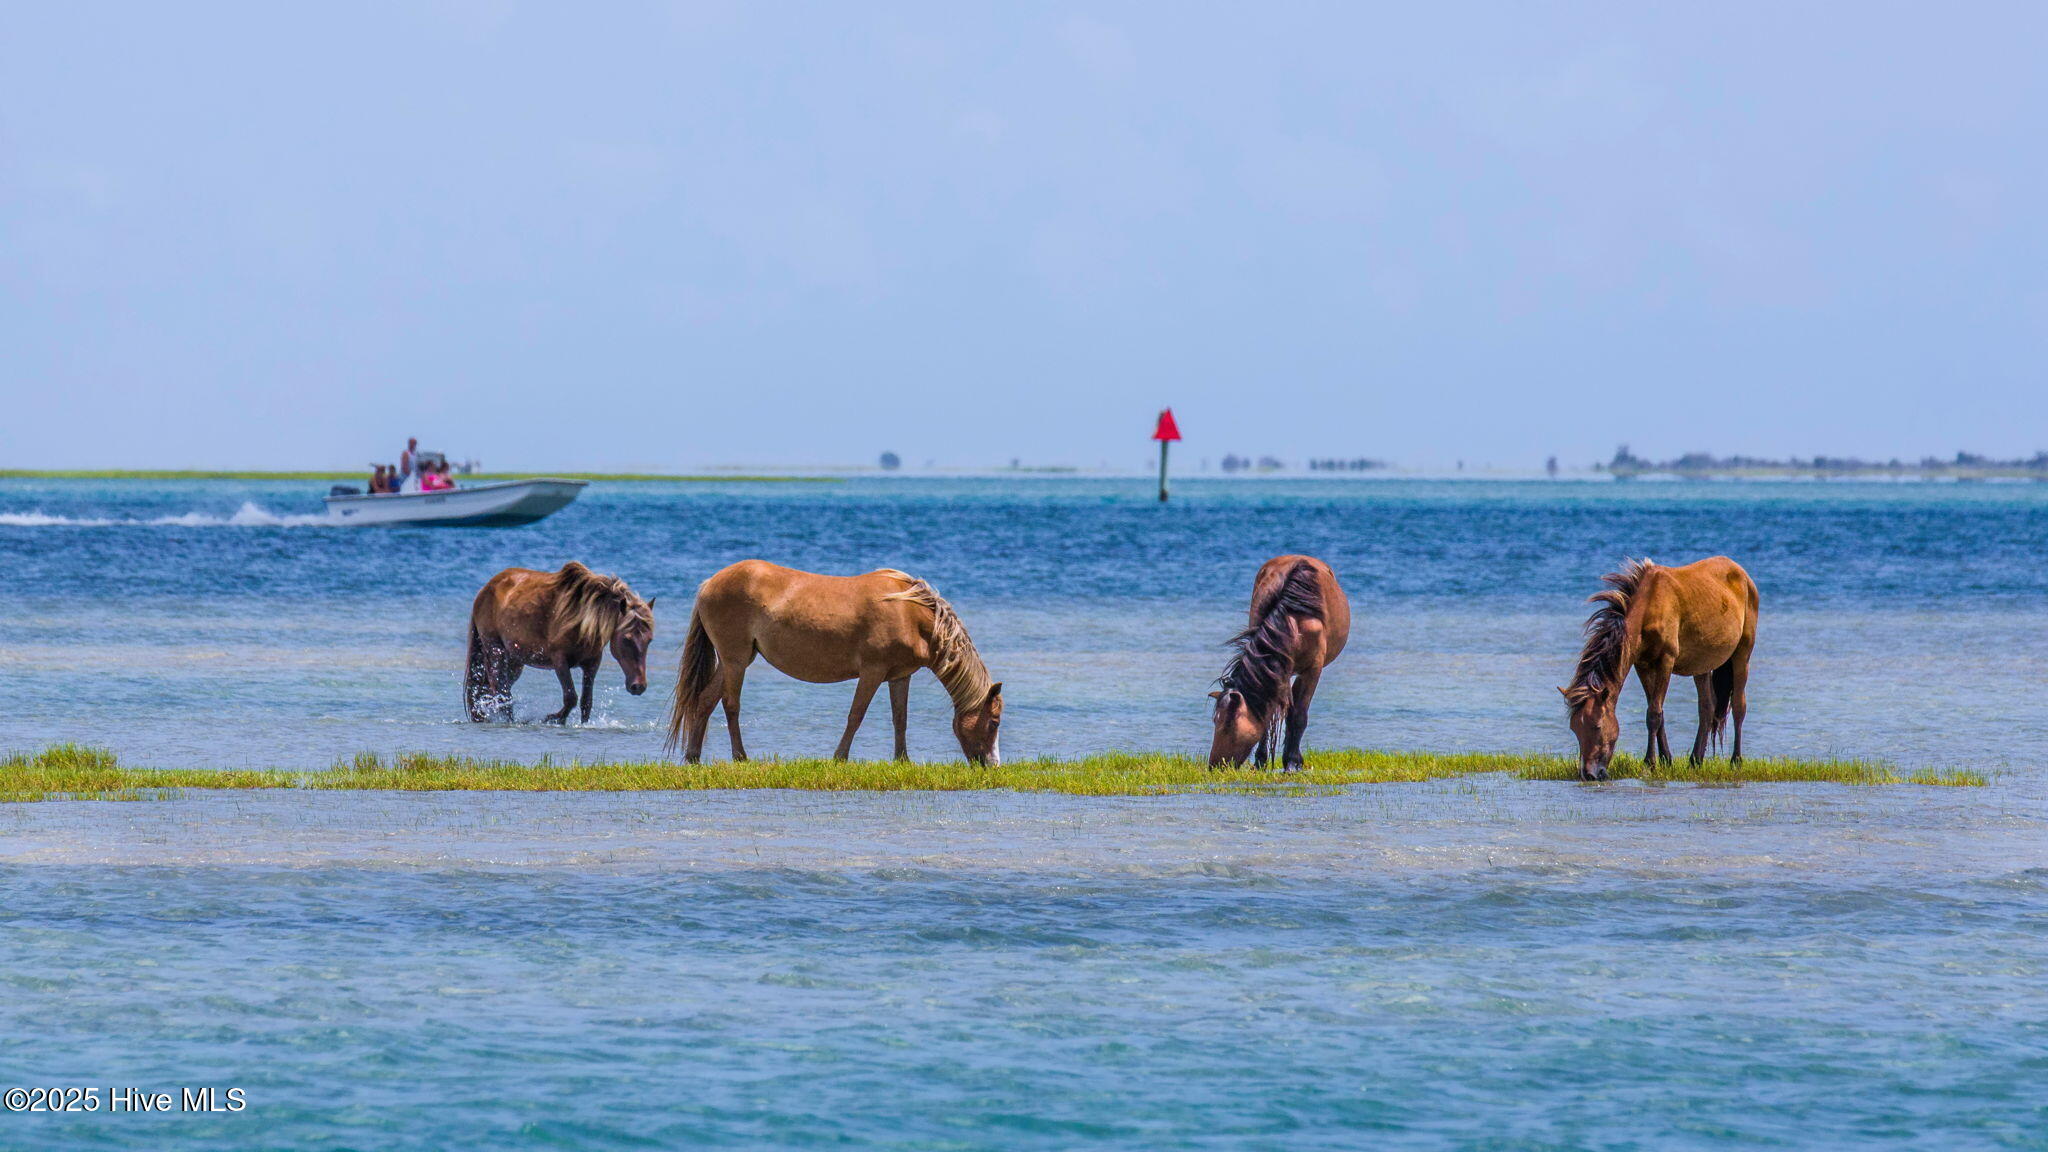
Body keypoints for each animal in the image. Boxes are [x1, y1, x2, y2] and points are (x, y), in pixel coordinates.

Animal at [466, 562, 655, 724]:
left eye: (649, 640)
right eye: (626, 638)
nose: (638, 686)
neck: (583, 621)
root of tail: (484, 590)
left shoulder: (592, 664)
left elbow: (586, 702)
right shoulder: (559, 661)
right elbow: (571, 697)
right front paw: (552, 718)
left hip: (514, 661)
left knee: (492, 690)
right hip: (495, 650)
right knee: (501, 691)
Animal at [663, 560, 1003, 765]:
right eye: (994, 722)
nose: (991, 765)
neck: (910, 613)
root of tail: (710, 583)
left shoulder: (899, 676)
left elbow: (900, 719)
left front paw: (902, 761)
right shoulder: (872, 671)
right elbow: (856, 715)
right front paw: (840, 757)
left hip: (736, 660)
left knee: (705, 700)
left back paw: (693, 757)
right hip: (735, 660)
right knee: (731, 705)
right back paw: (740, 756)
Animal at [1208, 555, 1351, 769]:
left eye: (1228, 725)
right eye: (1215, 721)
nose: (1214, 765)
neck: (1294, 621)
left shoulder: (1311, 670)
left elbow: (1298, 715)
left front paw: (1292, 763)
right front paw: (1261, 761)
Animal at [1560, 556, 1758, 780]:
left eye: (1597, 726)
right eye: (1574, 728)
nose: (1589, 774)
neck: (1650, 606)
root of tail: (1743, 574)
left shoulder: (1665, 661)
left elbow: (1653, 713)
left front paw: (1650, 762)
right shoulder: (1642, 664)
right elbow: (1658, 712)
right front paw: (1666, 759)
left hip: (1742, 654)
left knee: (1739, 706)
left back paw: (1736, 760)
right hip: (1702, 665)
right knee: (1707, 708)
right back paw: (1696, 760)